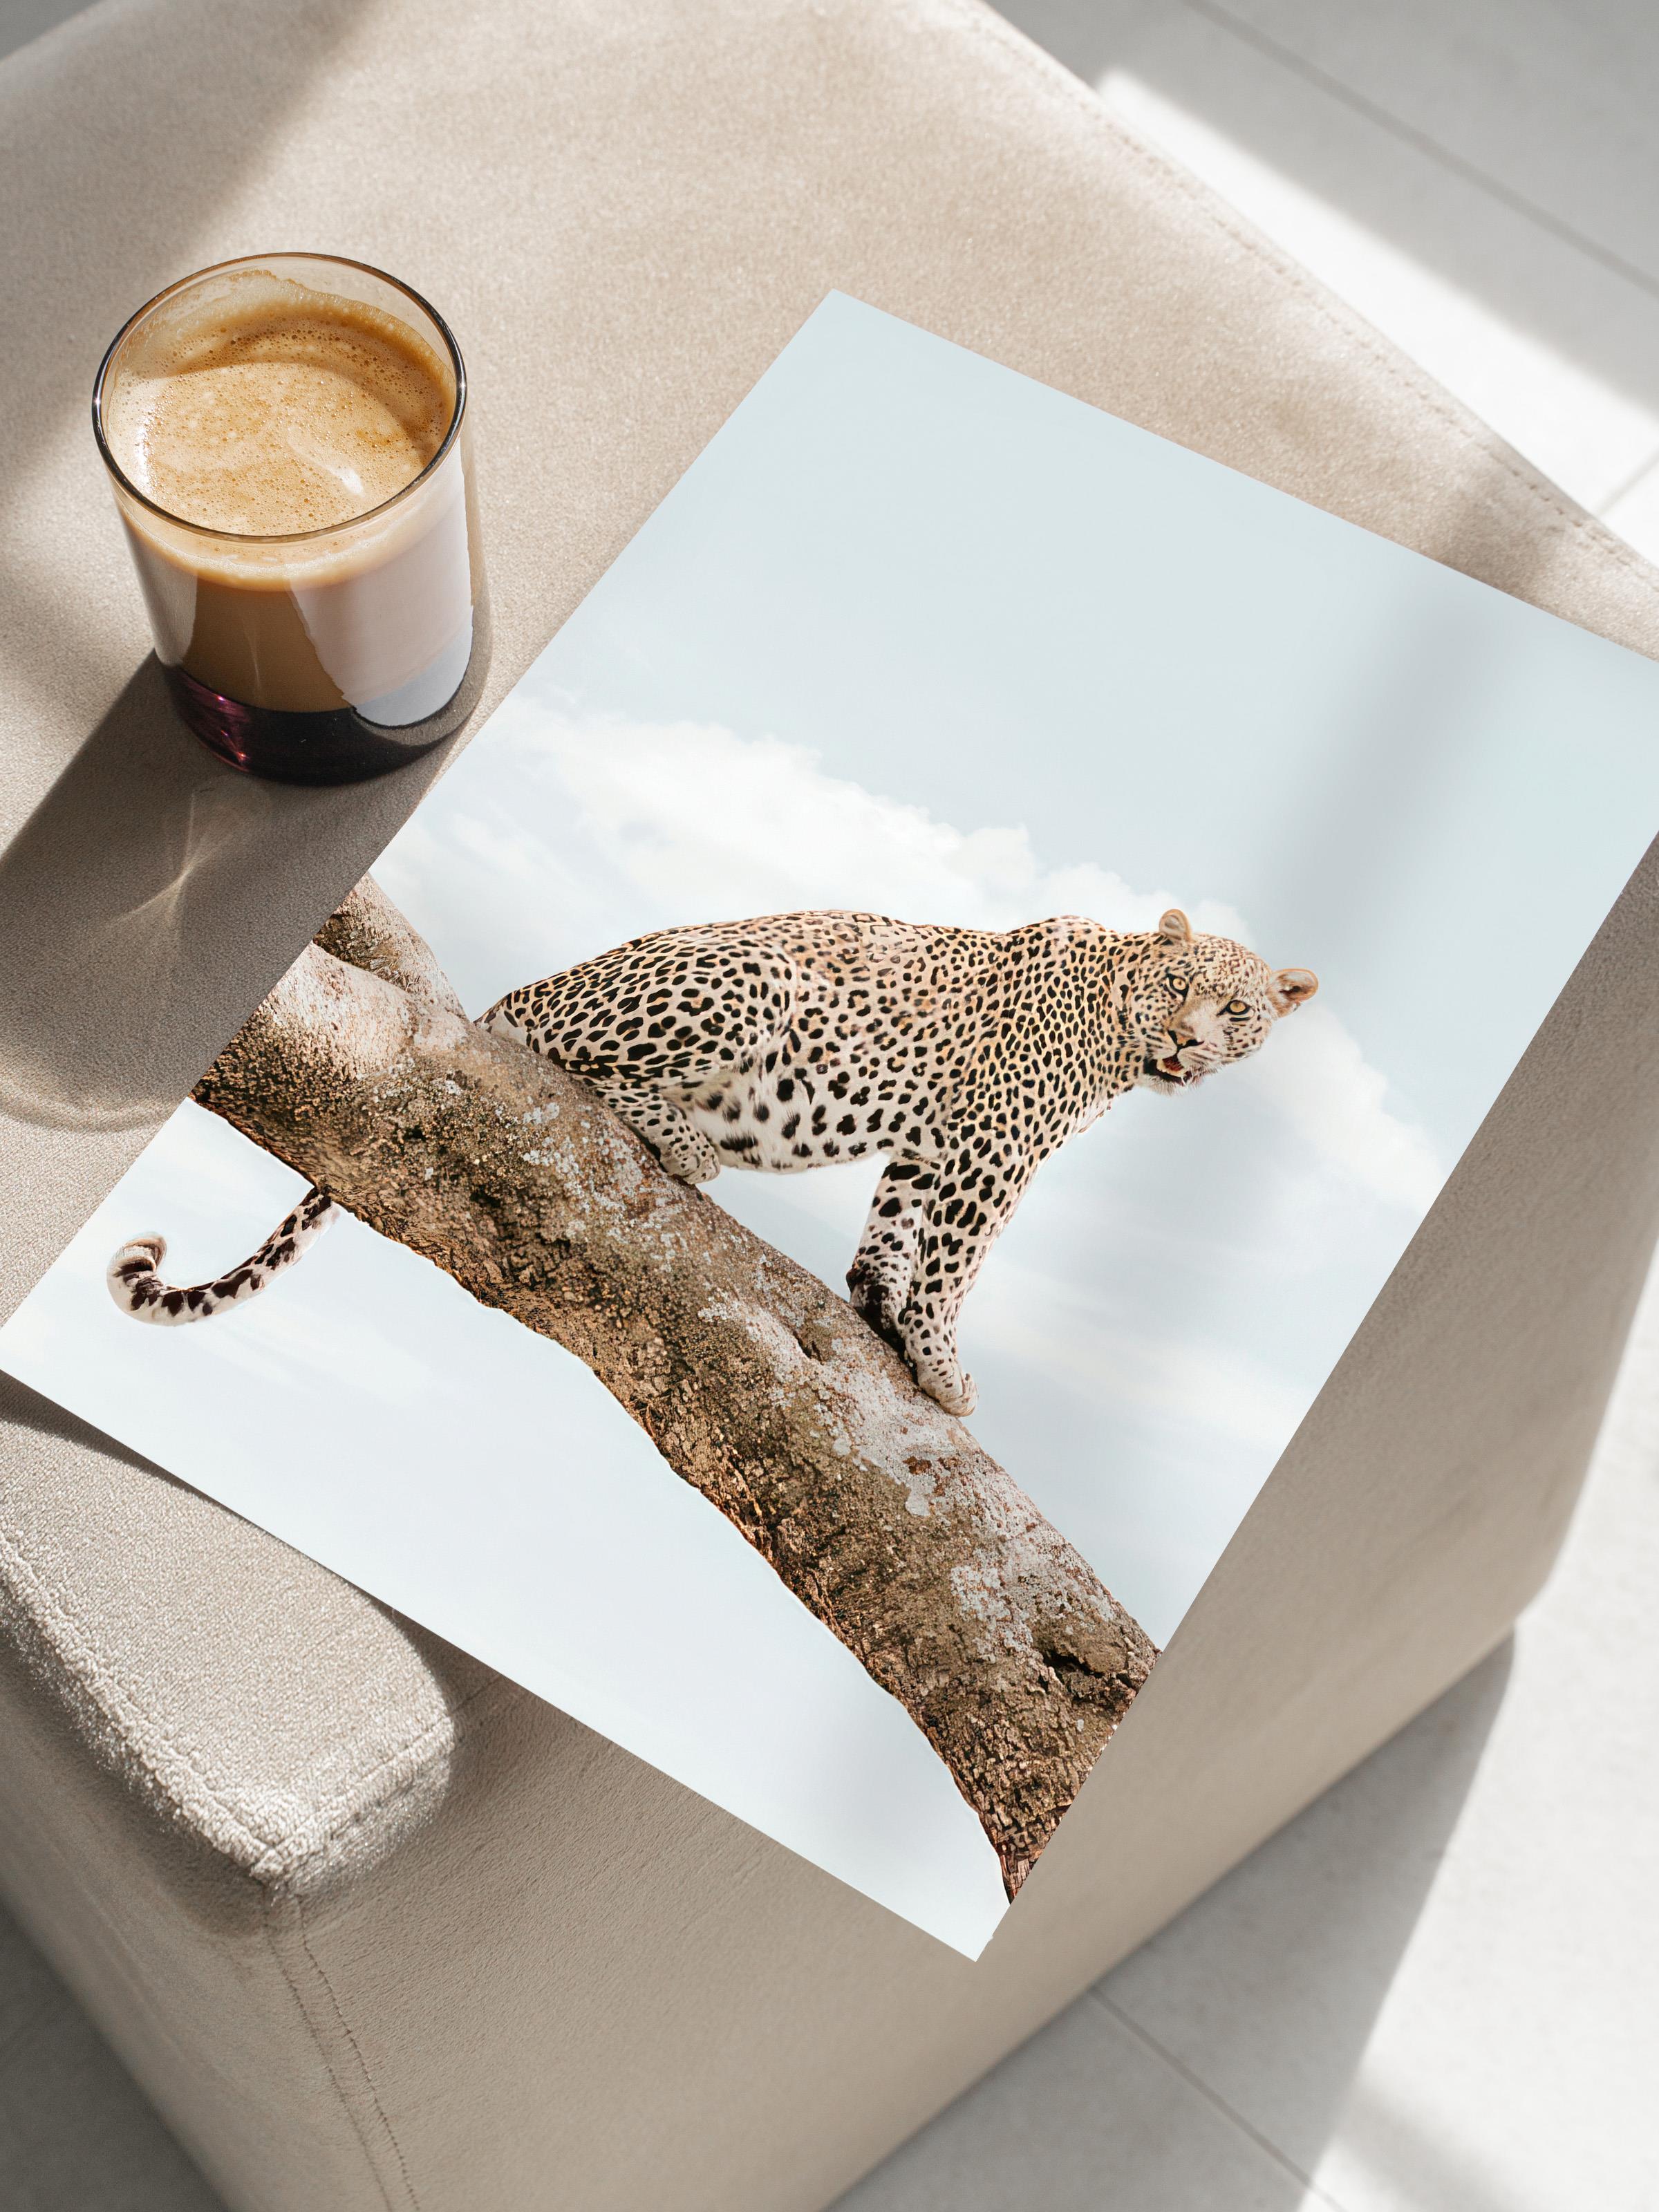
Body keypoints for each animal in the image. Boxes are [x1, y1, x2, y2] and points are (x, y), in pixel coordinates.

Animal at [108, 905, 1317, 1417]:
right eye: (1180, 989)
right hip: (752, 980)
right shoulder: (995, 1148)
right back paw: (688, 1143)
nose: (1187, 1047)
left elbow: (895, 1230)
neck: (1118, 1037)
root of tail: (520, 987)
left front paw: (876, 1307)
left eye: (1238, 1012)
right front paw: (940, 1362)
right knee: (569, 1061)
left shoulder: (933, 1144)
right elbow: (957, 1266)